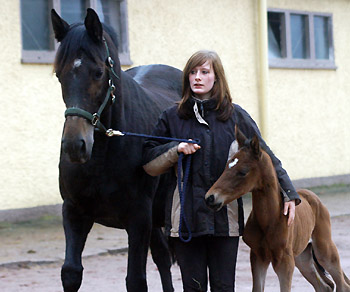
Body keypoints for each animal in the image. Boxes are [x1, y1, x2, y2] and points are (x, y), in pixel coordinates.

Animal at [51, 8, 182, 290]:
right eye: (59, 75)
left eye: (98, 73)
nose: (75, 146)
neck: (102, 157)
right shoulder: (74, 212)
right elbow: (71, 272)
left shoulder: (139, 219)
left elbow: (135, 280)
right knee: (163, 258)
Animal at [205, 126, 350, 292]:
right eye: (226, 165)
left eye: (243, 171)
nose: (210, 197)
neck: (270, 219)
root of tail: (314, 198)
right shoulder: (258, 257)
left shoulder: (284, 262)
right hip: (302, 257)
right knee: (324, 286)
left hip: (324, 249)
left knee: (342, 284)